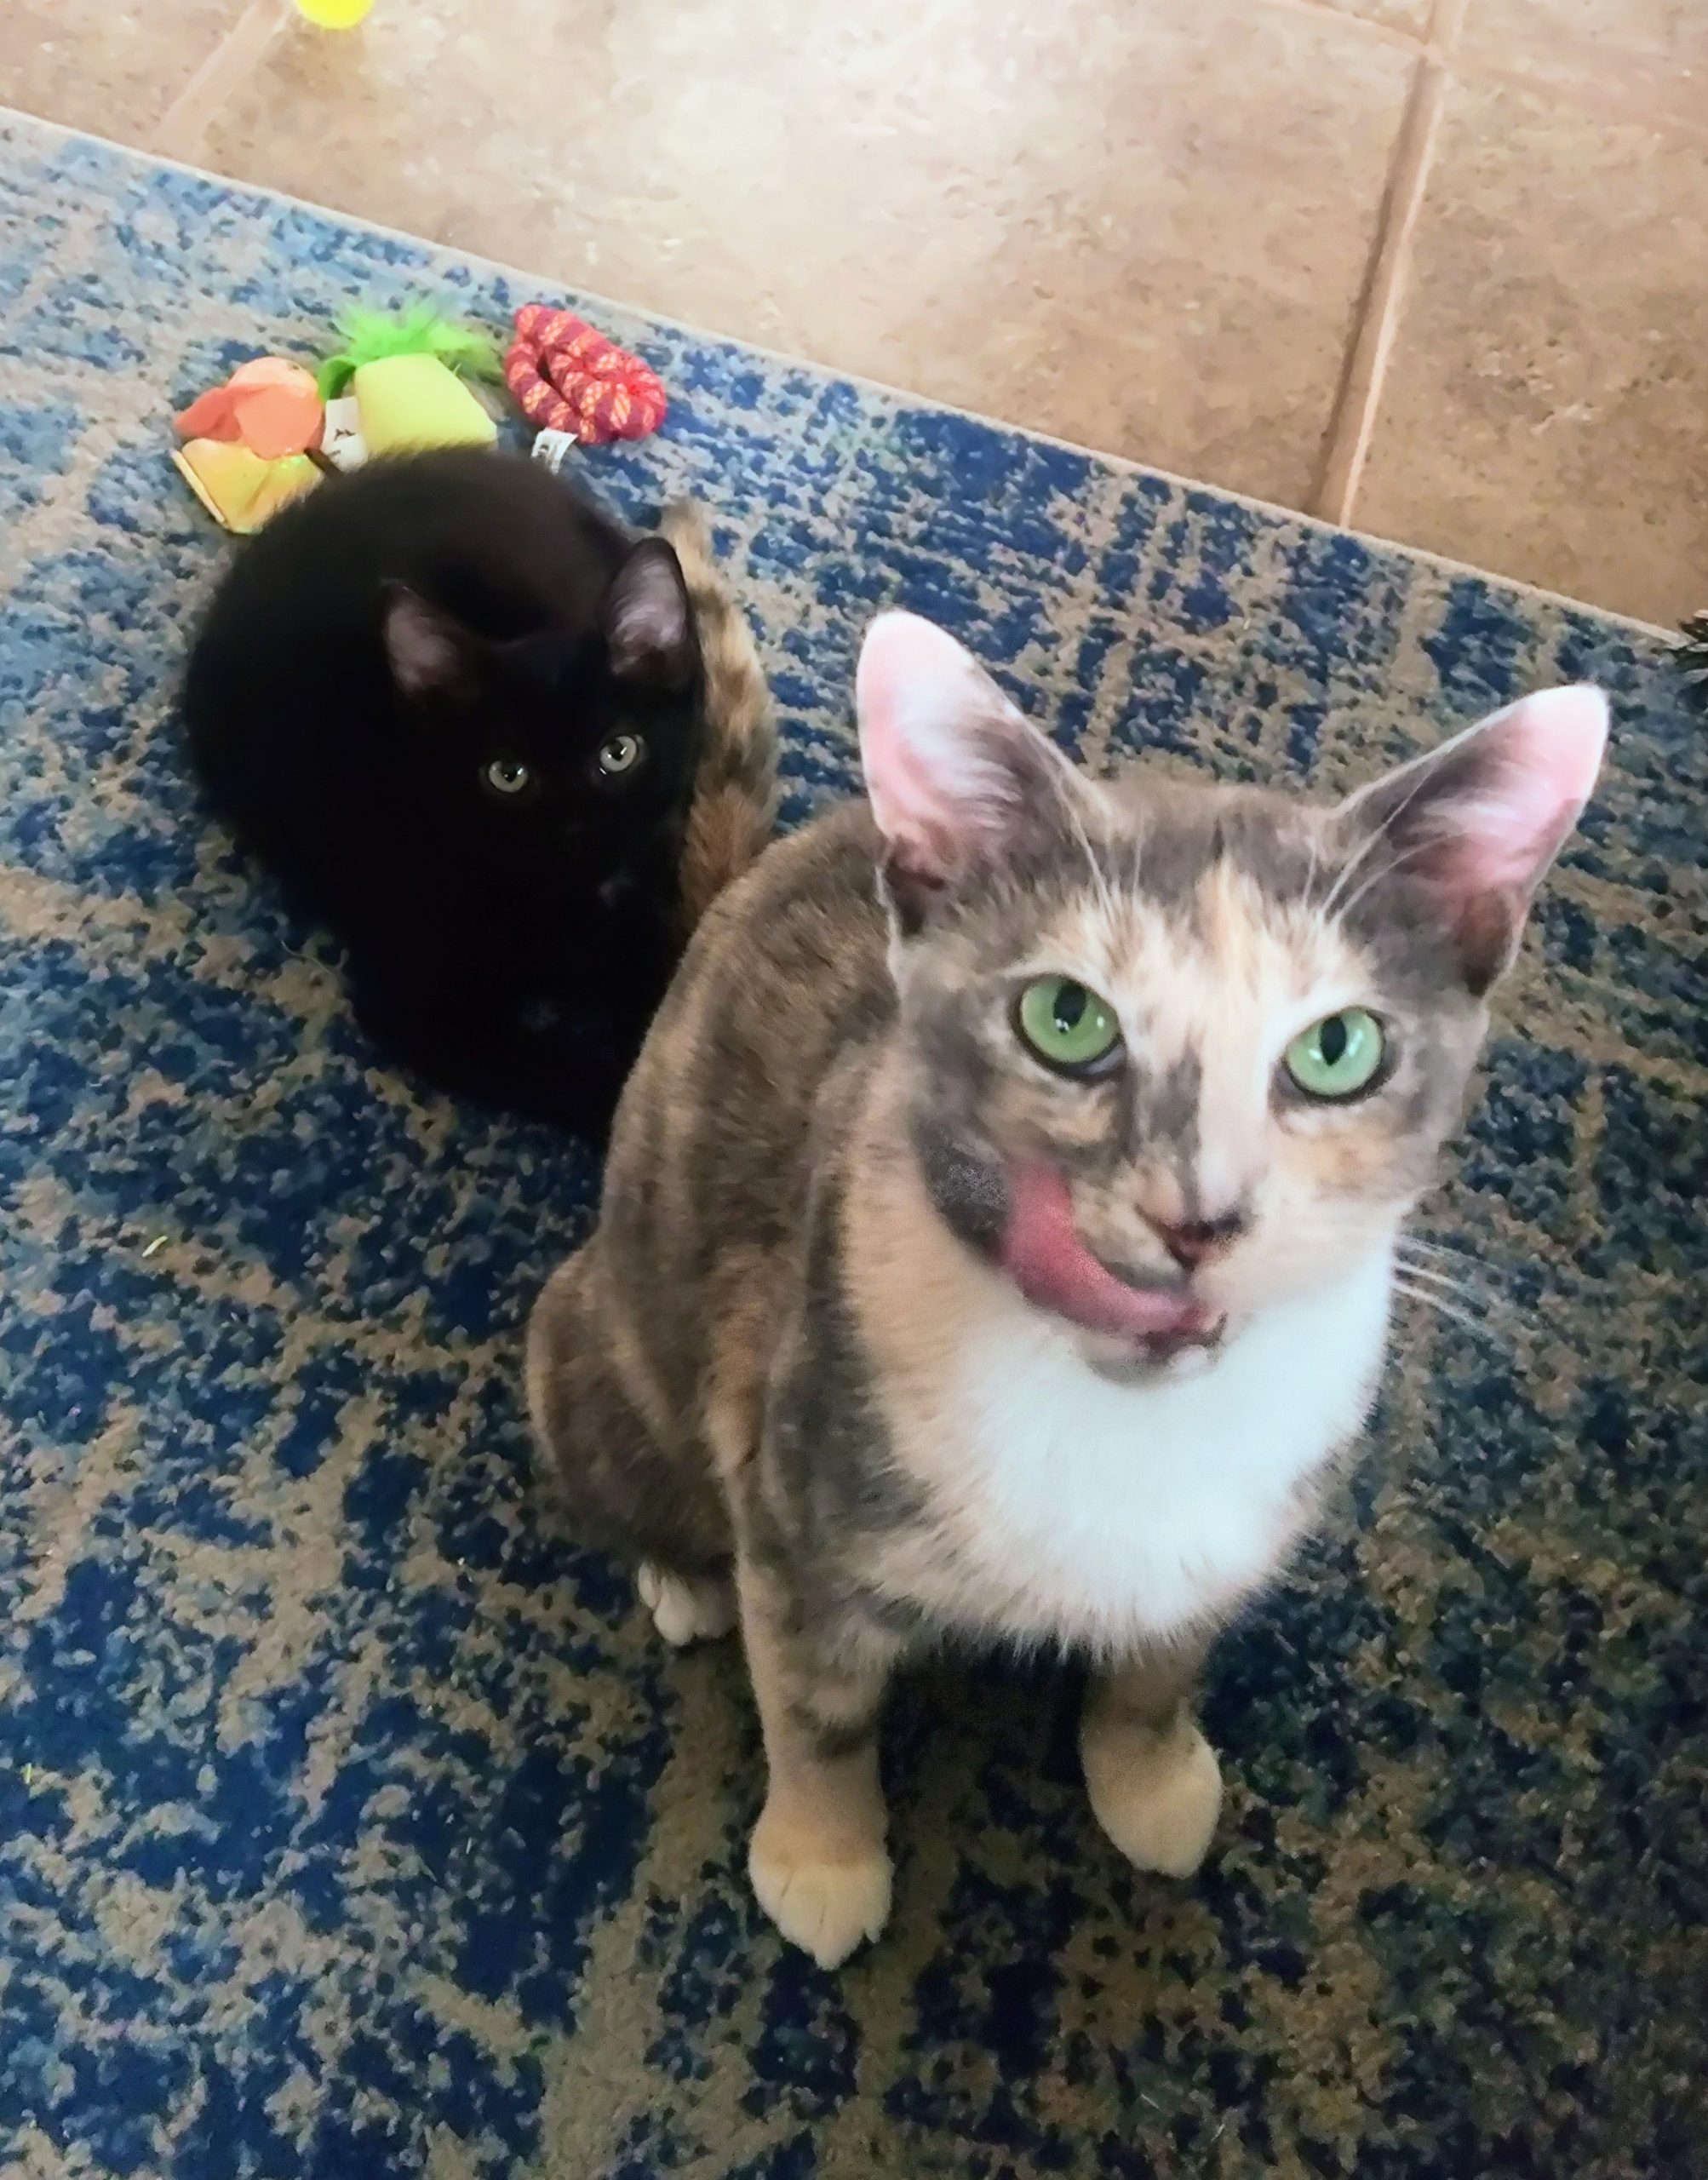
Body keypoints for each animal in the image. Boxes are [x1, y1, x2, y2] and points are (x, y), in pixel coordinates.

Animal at [185, 438, 775, 1124]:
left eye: (619, 752)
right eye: (506, 775)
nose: (575, 829)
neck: (571, 903)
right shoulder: (413, 1004)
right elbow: (557, 1075)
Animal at [527, 605, 1612, 1971]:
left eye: (1337, 1048)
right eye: (1064, 1018)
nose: (1197, 1214)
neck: (1125, 1420)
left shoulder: (1222, 1544)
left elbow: (1159, 1668)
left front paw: (1148, 1780)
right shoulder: (792, 1472)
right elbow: (813, 1707)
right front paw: (822, 1858)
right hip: (595, 1331)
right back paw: (681, 1574)